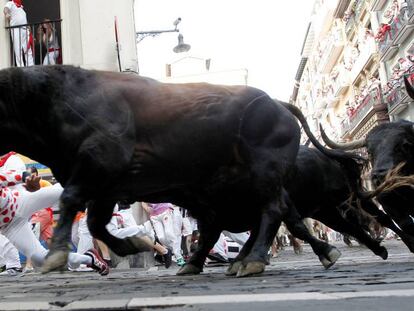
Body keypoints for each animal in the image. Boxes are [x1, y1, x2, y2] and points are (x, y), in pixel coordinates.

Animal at [0, 64, 330, 276]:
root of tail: (278, 104)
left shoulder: (99, 164)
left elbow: (71, 202)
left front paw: (56, 255)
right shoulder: (106, 186)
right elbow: (95, 223)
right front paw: (131, 245)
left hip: (263, 176)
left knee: (272, 212)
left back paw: (253, 261)